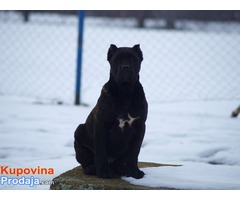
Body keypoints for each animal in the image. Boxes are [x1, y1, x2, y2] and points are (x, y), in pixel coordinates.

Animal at [74, 44, 147, 179]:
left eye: (133, 59)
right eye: (117, 59)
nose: (125, 67)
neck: (125, 92)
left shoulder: (140, 126)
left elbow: (134, 152)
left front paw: (134, 172)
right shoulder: (101, 125)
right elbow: (101, 150)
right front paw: (103, 172)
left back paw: (122, 169)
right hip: (79, 131)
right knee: (84, 158)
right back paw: (90, 168)